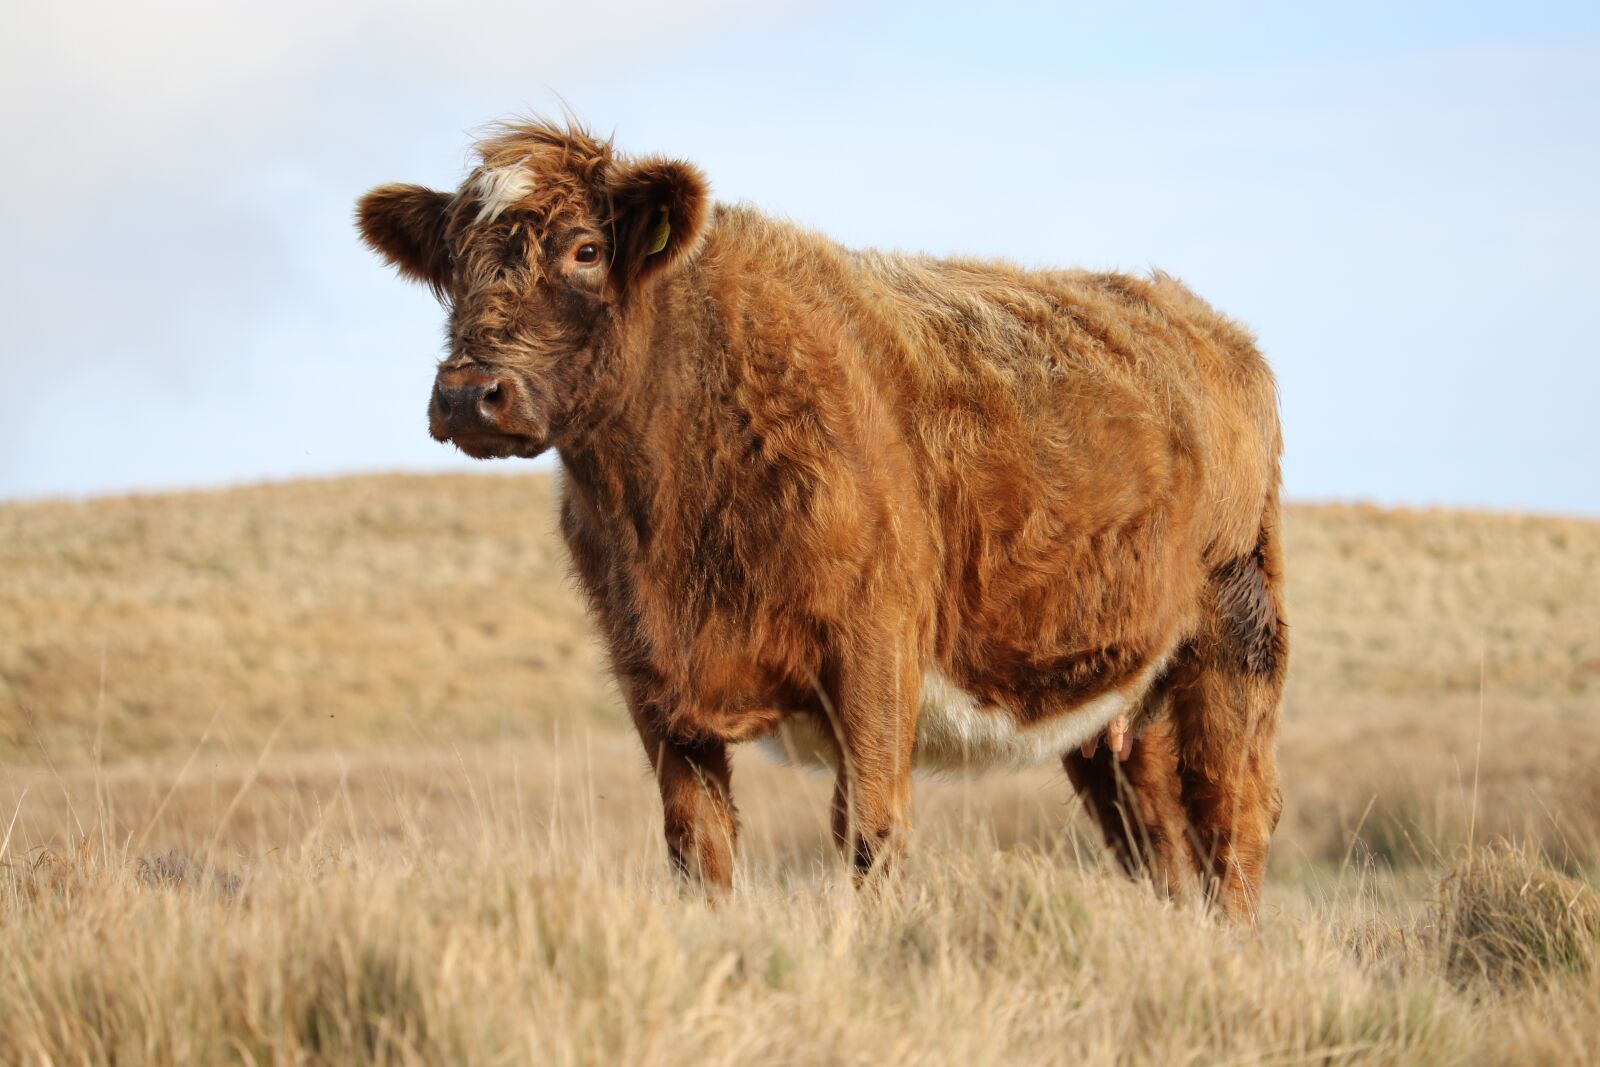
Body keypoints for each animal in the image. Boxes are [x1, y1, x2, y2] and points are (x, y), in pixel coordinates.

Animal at [356, 119, 1287, 918]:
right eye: (452, 264)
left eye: (586, 249)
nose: (469, 395)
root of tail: (1208, 326)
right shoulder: (653, 678)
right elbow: (698, 848)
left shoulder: (874, 651)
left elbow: (869, 834)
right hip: (1115, 706)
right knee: (1156, 834)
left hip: (1235, 639)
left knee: (1232, 814)